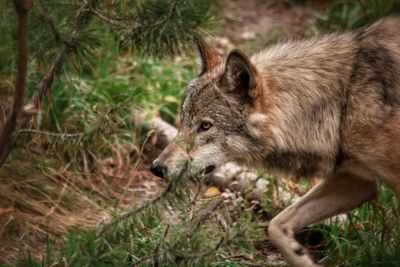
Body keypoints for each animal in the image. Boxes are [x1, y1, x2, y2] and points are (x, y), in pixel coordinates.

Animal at [151, 17, 400, 267]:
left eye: (205, 126)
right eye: (183, 121)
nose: (156, 168)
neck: (343, 101)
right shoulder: (357, 181)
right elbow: (276, 225)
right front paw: (302, 258)